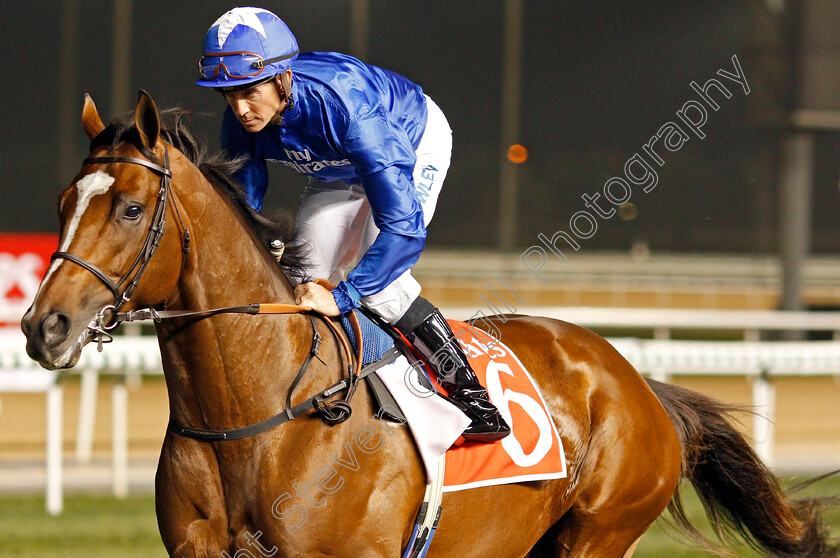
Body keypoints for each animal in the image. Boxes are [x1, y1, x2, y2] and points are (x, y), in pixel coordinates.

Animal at [23, 93, 836, 558]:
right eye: (64, 202)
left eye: (131, 208)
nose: (42, 326)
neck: (257, 418)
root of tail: (637, 382)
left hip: (599, 533)